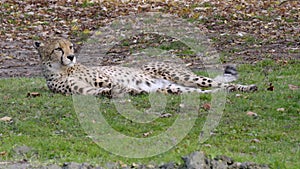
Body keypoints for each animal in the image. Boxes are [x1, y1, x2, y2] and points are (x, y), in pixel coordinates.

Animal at [33, 37, 258, 97]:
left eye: (70, 46)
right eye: (58, 49)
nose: (71, 56)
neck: (62, 68)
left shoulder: (105, 79)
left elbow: (115, 85)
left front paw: (129, 90)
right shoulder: (80, 90)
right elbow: (100, 91)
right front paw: (130, 91)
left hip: (184, 77)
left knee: (219, 84)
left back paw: (247, 87)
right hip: (173, 88)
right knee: (206, 91)